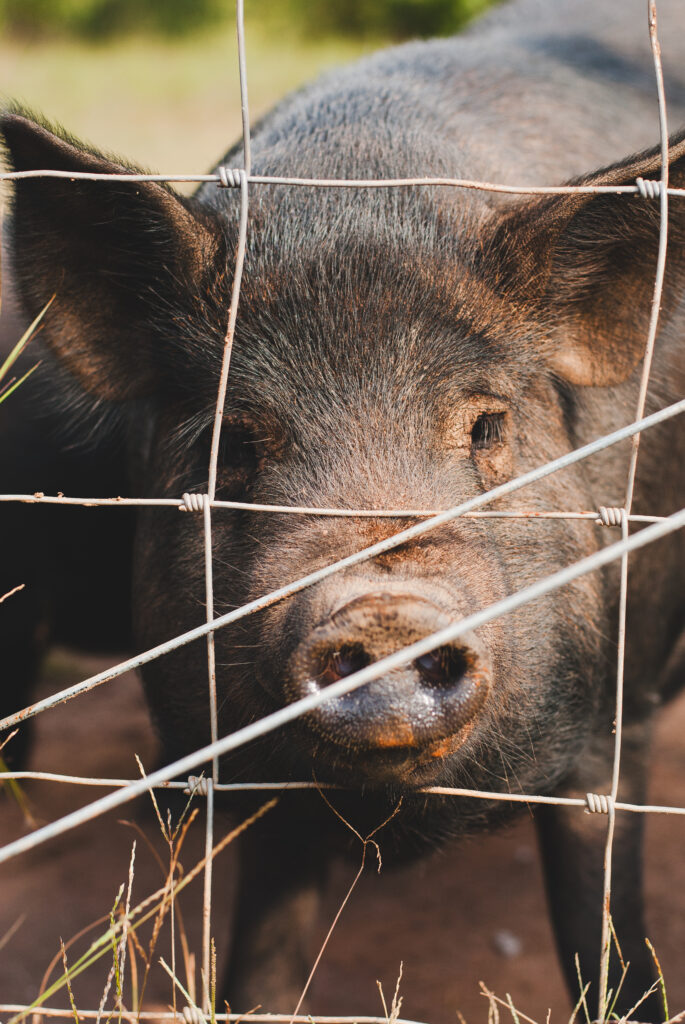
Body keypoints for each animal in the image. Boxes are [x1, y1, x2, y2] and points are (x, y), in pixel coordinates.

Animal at [1, 0, 683, 1011]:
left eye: (487, 424)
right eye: (231, 443)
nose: (383, 611)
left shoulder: (617, 718)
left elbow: (603, 935)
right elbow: (260, 964)